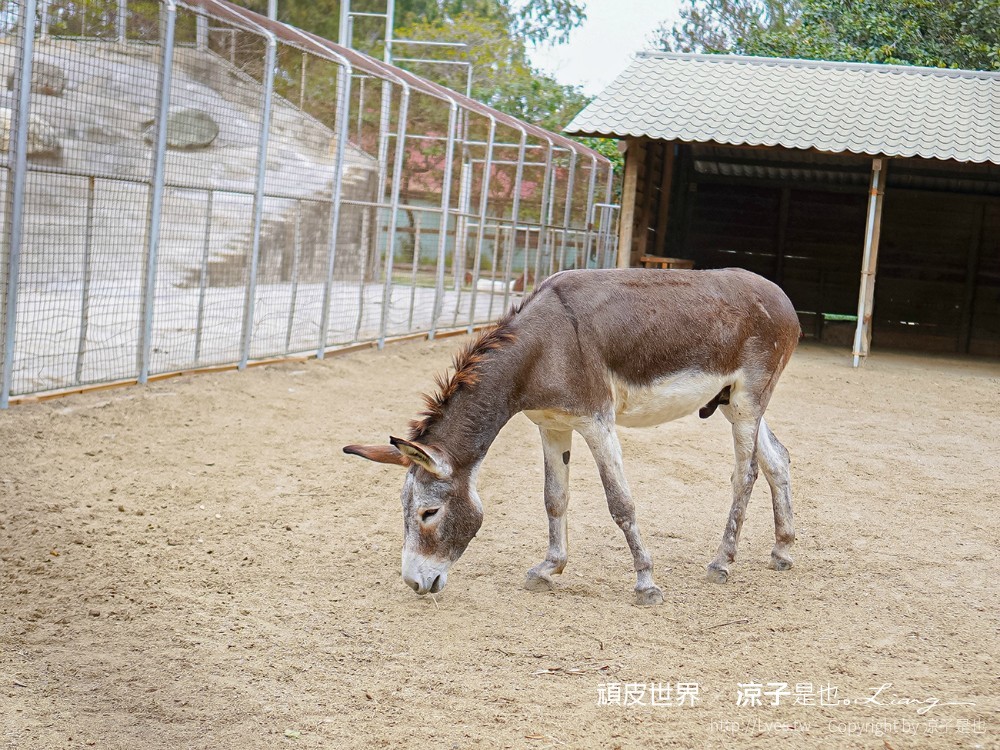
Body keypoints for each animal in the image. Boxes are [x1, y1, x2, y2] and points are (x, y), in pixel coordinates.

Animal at [344, 268, 801, 605]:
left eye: (429, 513)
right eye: (405, 510)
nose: (414, 584)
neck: (544, 346)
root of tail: (781, 295)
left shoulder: (597, 422)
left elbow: (620, 503)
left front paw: (646, 582)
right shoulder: (552, 424)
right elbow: (554, 498)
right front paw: (550, 568)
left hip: (747, 401)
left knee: (745, 475)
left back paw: (723, 562)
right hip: (730, 401)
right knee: (777, 458)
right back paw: (782, 549)